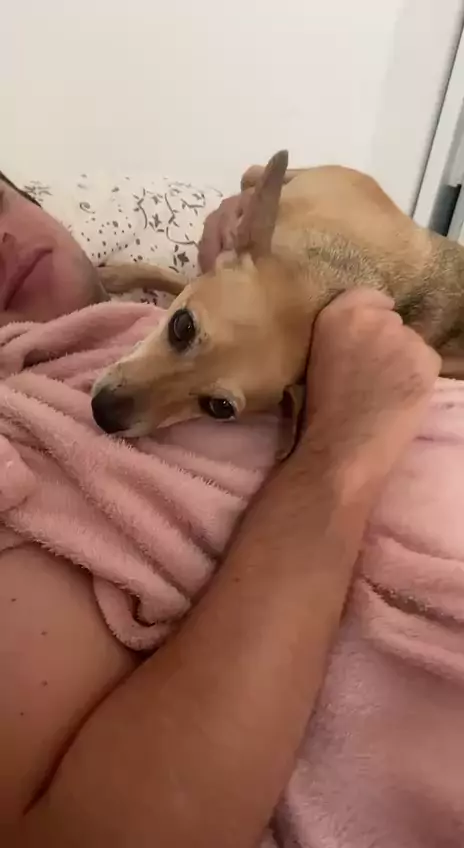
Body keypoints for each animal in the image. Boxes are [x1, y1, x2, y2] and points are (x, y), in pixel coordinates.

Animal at [92, 150, 464, 441]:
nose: (104, 413)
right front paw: (117, 275)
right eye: (182, 327)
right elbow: (178, 277)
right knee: (255, 172)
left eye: (219, 408)